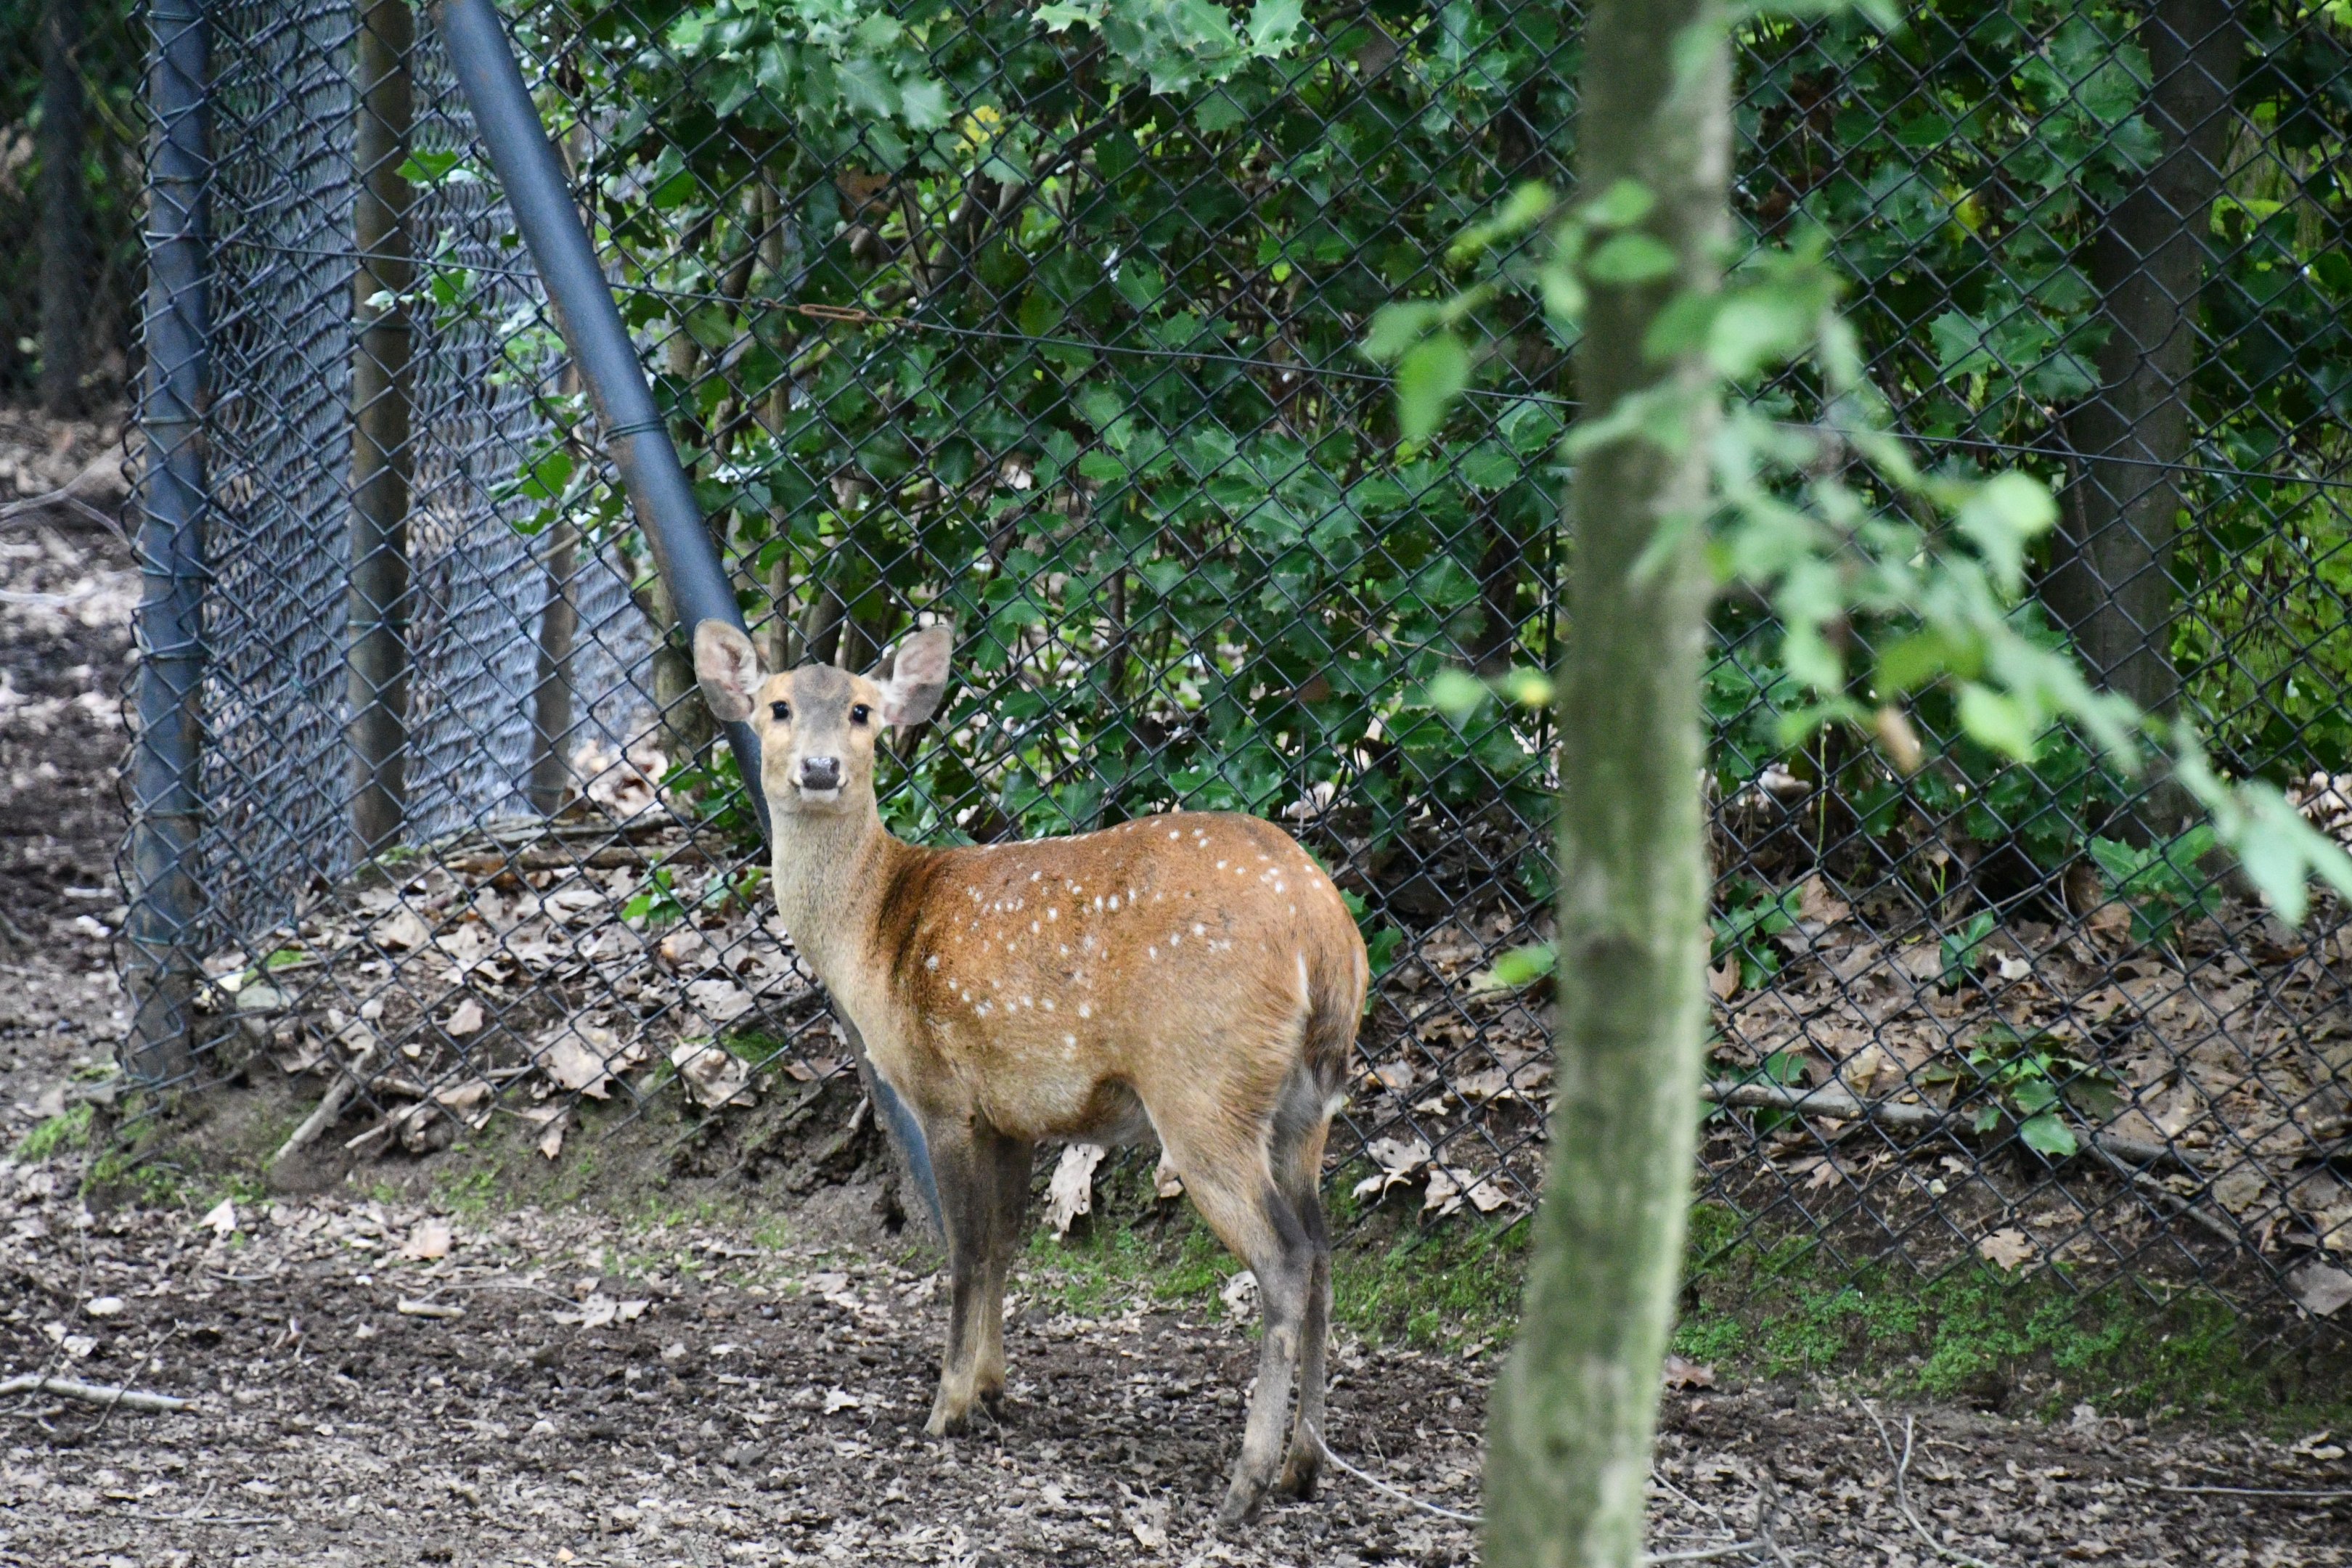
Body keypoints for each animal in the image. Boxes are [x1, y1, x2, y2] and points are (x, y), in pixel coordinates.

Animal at [692, 617, 1368, 1526]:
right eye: (777, 707)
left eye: (863, 710)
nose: (822, 769)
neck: (874, 930)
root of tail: (1324, 933)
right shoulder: (1013, 1113)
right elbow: (1008, 1244)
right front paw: (994, 1389)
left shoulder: (940, 1092)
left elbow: (967, 1248)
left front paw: (946, 1406)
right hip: (1308, 1107)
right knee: (1326, 1254)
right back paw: (1304, 1465)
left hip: (1203, 1087)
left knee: (1286, 1259)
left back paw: (1247, 1480)